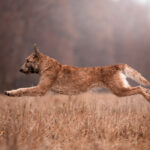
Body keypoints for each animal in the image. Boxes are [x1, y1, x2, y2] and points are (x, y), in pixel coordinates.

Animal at [4, 44, 150, 102]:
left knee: (139, 88)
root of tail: (115, 66)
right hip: (122, 88)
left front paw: (10, 93)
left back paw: (148, 98)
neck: (46, 65)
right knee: (142, 88)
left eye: (27, 61)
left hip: (119, 90)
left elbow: (23, 90)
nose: (19, 69)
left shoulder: (41, 89)